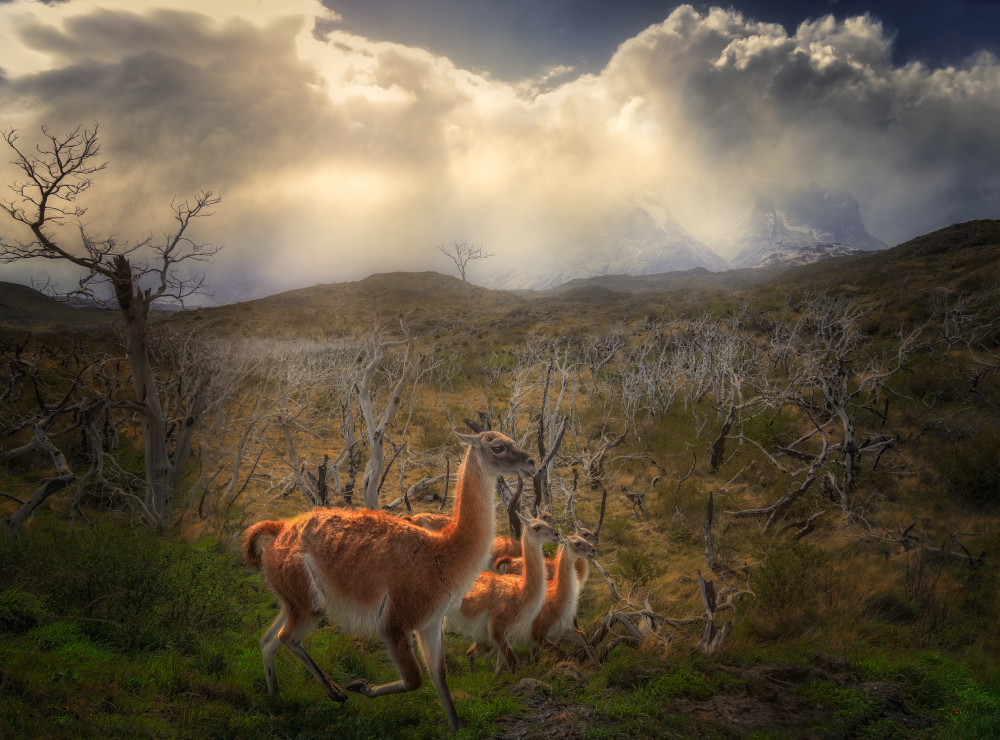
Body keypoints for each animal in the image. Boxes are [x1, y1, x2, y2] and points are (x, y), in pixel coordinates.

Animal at [242, 430, 536, 732]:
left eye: (512, 441)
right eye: (498, 447)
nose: (531, 462)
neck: (442, 553)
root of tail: (281, 528)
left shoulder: (431, 622)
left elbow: (439, 674)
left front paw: (457, 727)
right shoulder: (396, 621)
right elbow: (414, 678)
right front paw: (362, 686)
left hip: (292, 598)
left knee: (268, 640)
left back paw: (276, 699)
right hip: (307, 601)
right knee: (286, 637)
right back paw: (334, 691)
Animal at [448, 512, 560, 672]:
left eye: (546, 523)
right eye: (537, 527)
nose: (556, 534)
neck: (520, 595)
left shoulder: (508, 634)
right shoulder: (498, 628)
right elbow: (513, 662)